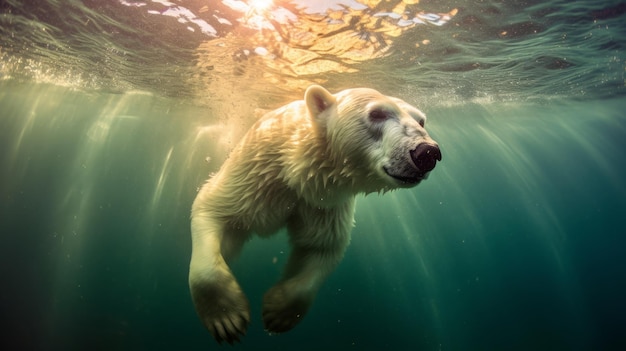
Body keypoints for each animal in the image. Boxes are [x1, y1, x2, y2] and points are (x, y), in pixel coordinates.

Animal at [188, 85, 442, 344]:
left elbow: (321, 246)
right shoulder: (256, 175)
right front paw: (226, 319)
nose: (427, 153)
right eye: (377, 114)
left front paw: (278, 311)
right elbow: (212, 210)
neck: (296, 171)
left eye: (421, 120)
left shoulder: (323, 204)